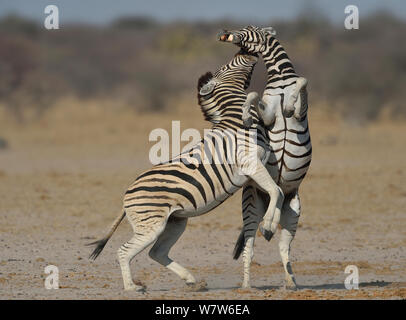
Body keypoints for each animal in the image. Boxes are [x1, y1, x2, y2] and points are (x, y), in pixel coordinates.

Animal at [87, 48, 284, 292]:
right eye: (227, 66)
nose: (245, 50)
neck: (235, 119)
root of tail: (127, 195)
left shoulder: (254, 172)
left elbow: (277, 191)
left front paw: (270, 224)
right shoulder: (250, 164)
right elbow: (276, 191)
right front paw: (268, 225)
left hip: (175, 221)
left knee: (156, 252)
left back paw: (191, 280)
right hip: (152, 225)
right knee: (124, 251)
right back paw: (132, 287)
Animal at [217, 26, 312, 288]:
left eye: (246, 30)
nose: (224, 34)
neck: (279, 77)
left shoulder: (300, 113)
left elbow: (302, 82)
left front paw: (289, 101)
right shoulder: (269, 115)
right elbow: (252, 95)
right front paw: (246, 117)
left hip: (293, 211)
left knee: (283, 247)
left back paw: (291, 283)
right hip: (252, 206)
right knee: (249, 247)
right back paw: (247, 285)